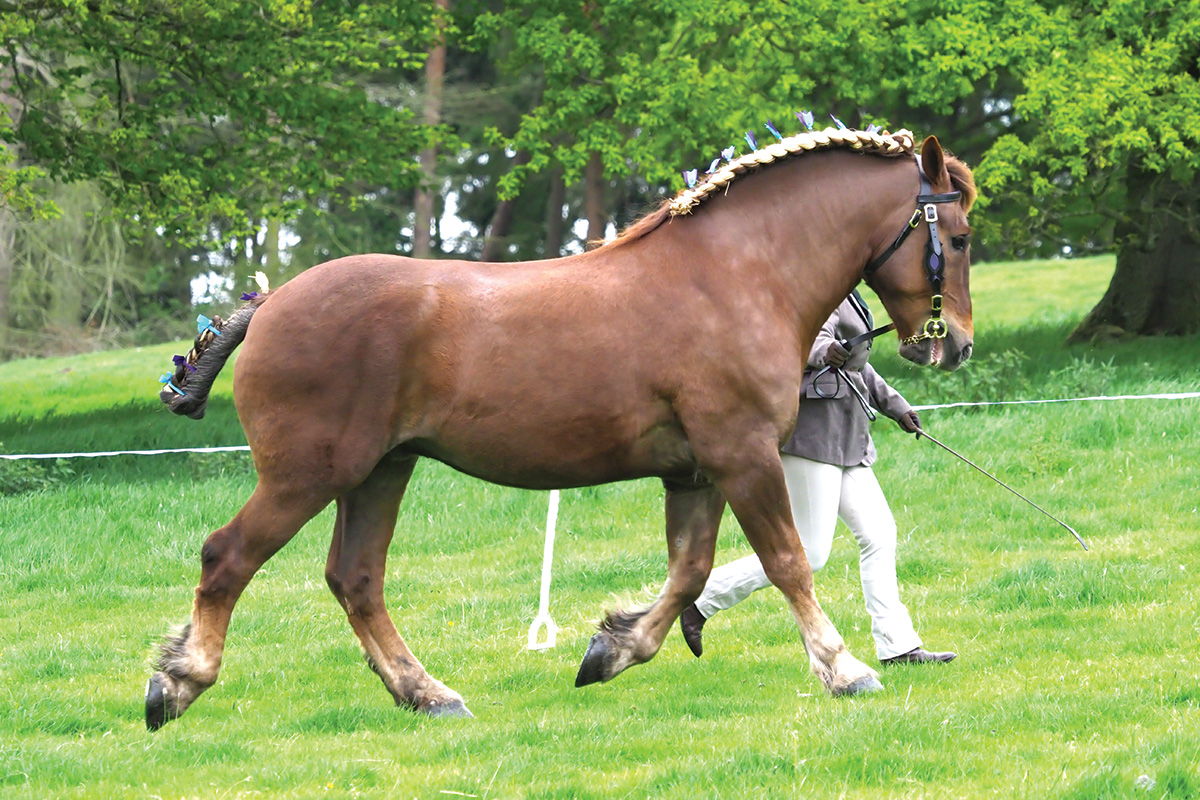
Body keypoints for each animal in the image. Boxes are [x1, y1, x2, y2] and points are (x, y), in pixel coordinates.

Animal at [147, 128, 974, 729]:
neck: (734, 276)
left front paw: (613, 649)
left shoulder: (696, 471)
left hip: (380, 472)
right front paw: (844, 668)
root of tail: (270, 303)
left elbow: (691, 571)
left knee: (355, 579)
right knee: (228, 557)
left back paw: (426, 693)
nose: (954, 346)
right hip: (308, 475)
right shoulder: (742, 458)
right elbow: (787, 562)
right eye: (960, 238)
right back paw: (179, 683)